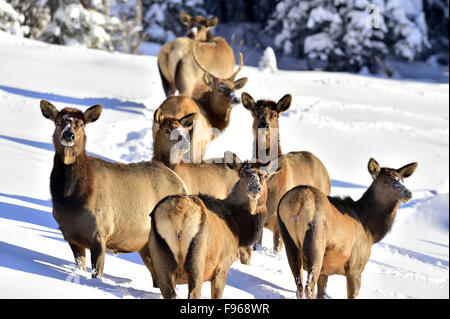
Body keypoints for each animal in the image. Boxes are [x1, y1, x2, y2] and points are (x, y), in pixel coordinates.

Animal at [38, 100, 186, 280]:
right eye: (59, 121)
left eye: (80, 124)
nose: (69, 135)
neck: (71, 202)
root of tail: (183, 185)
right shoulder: (71, 236)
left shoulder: (100, 232)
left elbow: (97, 273)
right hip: (147, 245)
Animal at [149, 162, 280, 300]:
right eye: (243, 174)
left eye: (264, 176)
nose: (255, 188)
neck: (238, 228)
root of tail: (178, 214)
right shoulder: (222, 266)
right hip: (197, 259)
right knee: (194, 293)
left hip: (160, 258)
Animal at [241, 92, 332, 255]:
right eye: (255, 113)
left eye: (275, 114)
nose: (264, 125)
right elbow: (257, 244)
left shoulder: (280, 220)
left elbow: (277, 246)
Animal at [278, 159, 418, 298]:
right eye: (385, 181)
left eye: (402, 180)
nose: (408, 193)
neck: (370, 231)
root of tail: (298, 201)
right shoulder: (355, 266)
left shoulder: (325, 270)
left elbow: (321, 292)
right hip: (315, 240)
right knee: (308, 287)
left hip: (288, 238)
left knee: (299, 286)